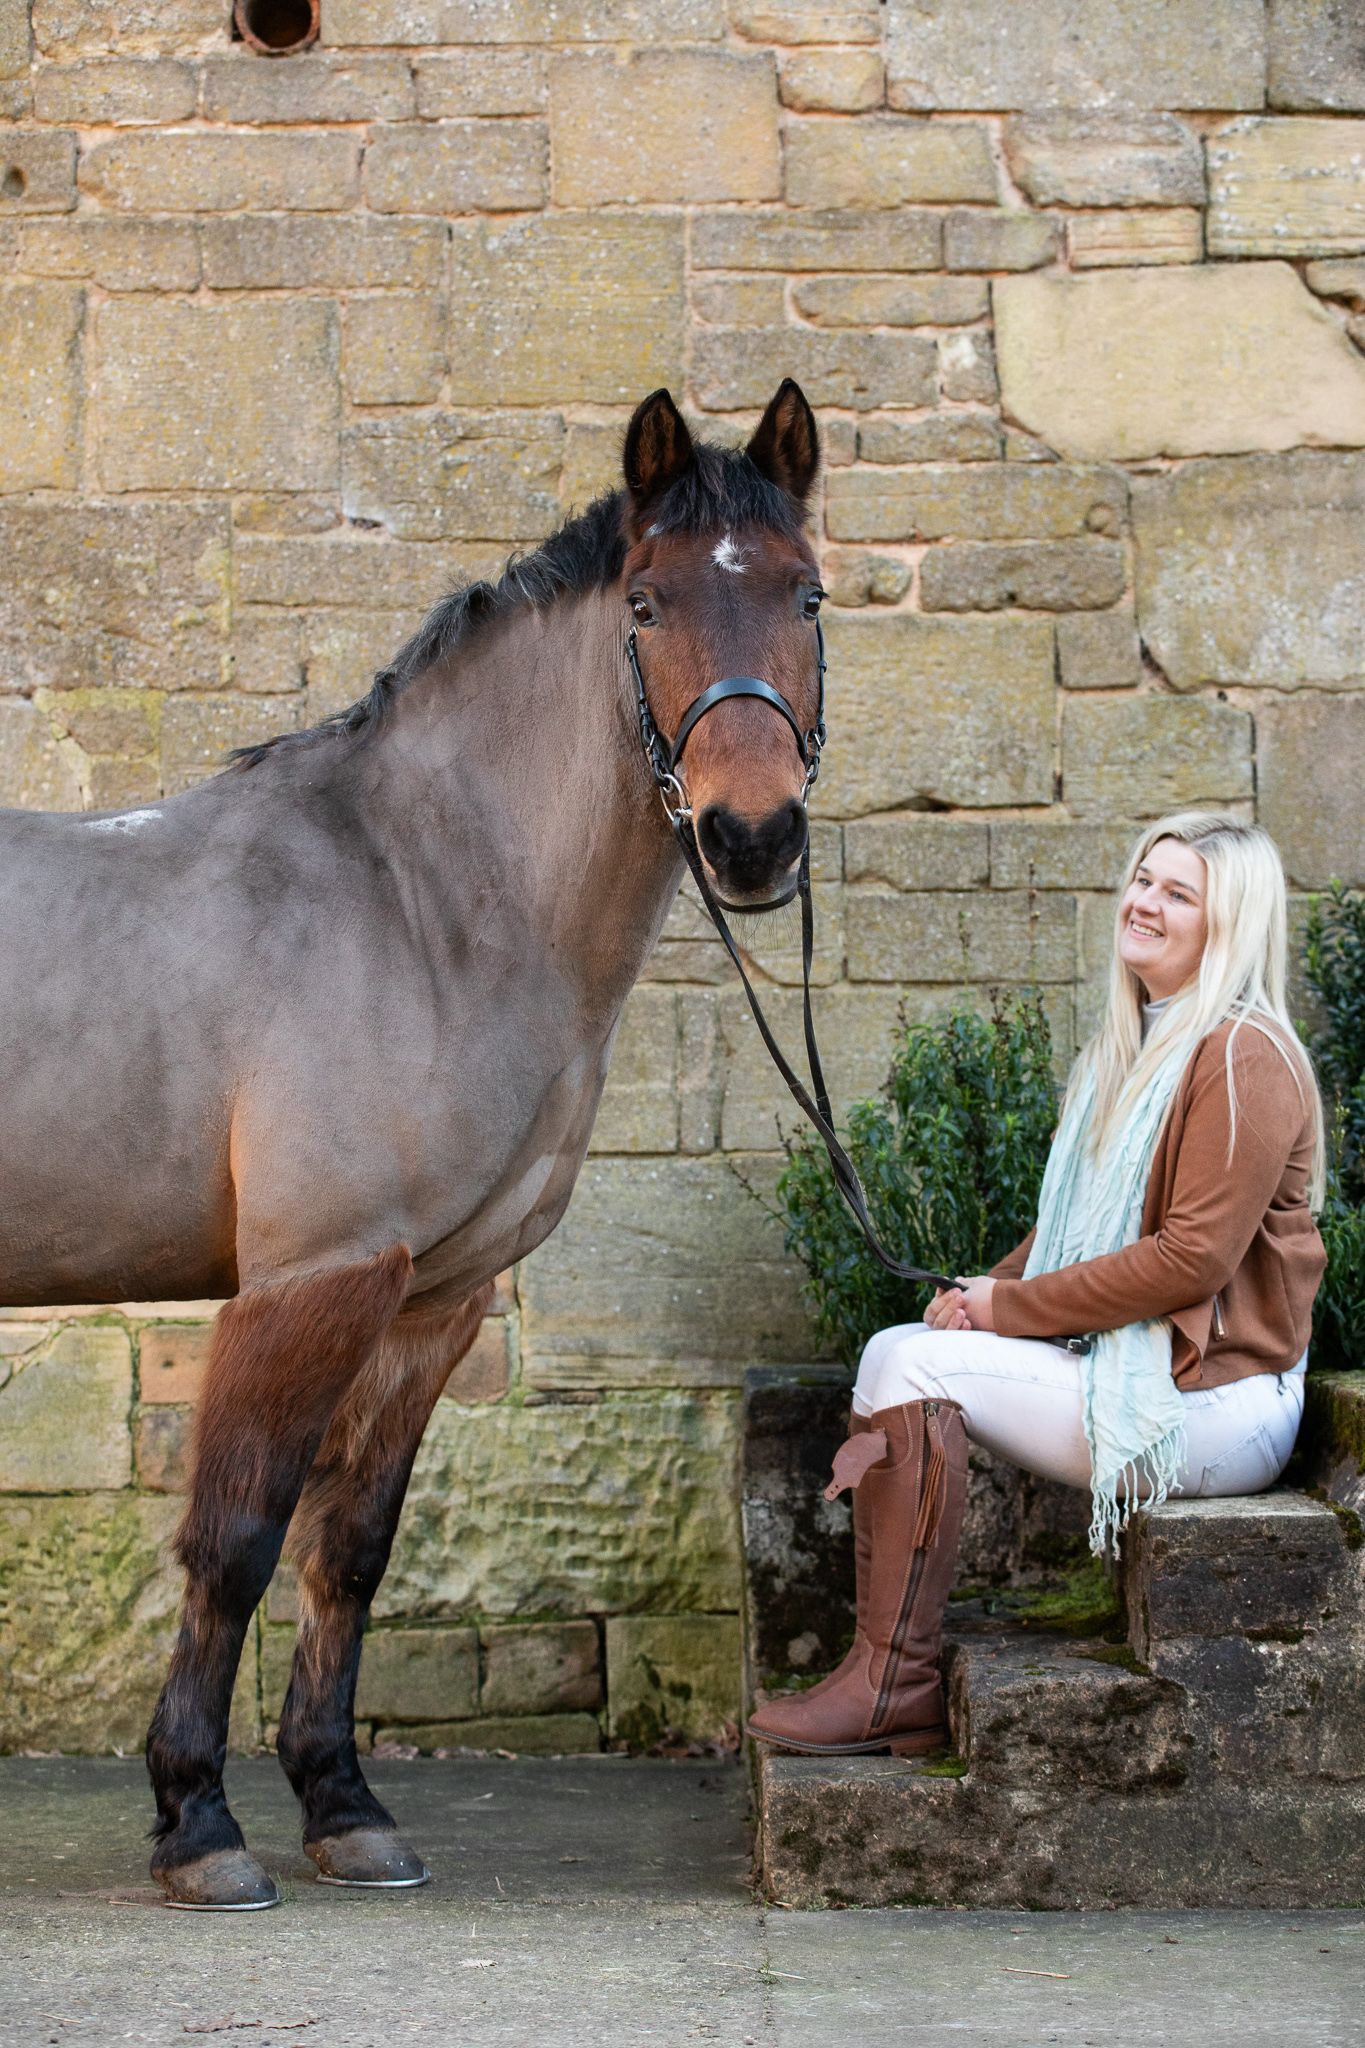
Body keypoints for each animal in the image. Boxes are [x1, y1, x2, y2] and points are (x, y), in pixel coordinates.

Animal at [0, 381, 826, 1909]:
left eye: (806, 593)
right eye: (645, 603)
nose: (751, 838)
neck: (418, 896)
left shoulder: (432, 1297)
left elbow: (353, 1548)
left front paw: (343, 1803)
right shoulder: (311, 1279)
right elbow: (235, 1542)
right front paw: (198, 1822)